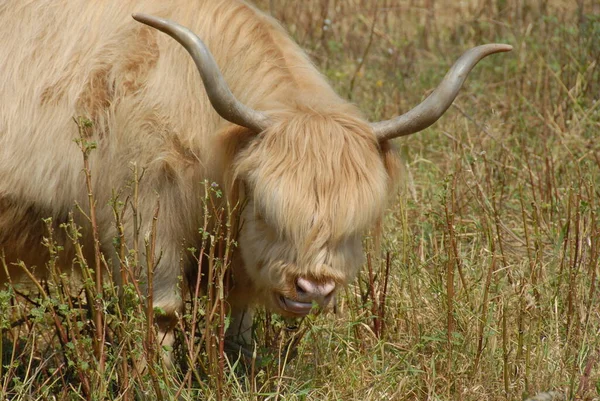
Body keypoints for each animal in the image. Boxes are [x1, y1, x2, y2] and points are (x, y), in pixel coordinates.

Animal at [0, 0, 510, 354]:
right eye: (265, 209)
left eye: (358, 224)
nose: (313, 289)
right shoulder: (143, 222)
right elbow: (161, 316)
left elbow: (241, 323)